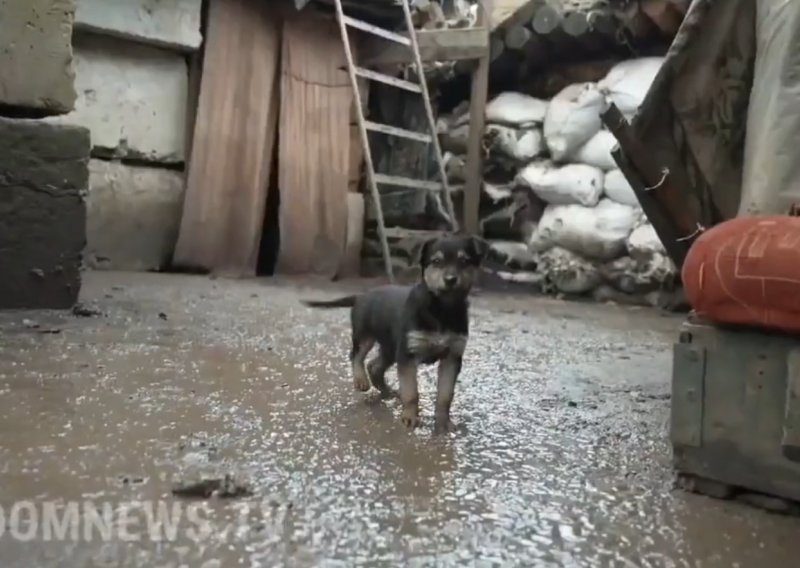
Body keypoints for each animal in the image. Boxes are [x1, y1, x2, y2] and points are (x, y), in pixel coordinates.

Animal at [302, 235, 484, 434]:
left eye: (464, 261)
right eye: (436, 261)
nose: (451, 279)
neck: (441, 310)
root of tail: (361, 295)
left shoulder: (452, 357)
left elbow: (445, 395)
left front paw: (444, 423)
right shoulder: (407, 354)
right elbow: (411, 392)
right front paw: (410, 417)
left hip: (390, 347)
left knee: (374, 366)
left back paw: (387, 391)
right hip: (365, 335)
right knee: (356, 355)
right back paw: (361, 381)